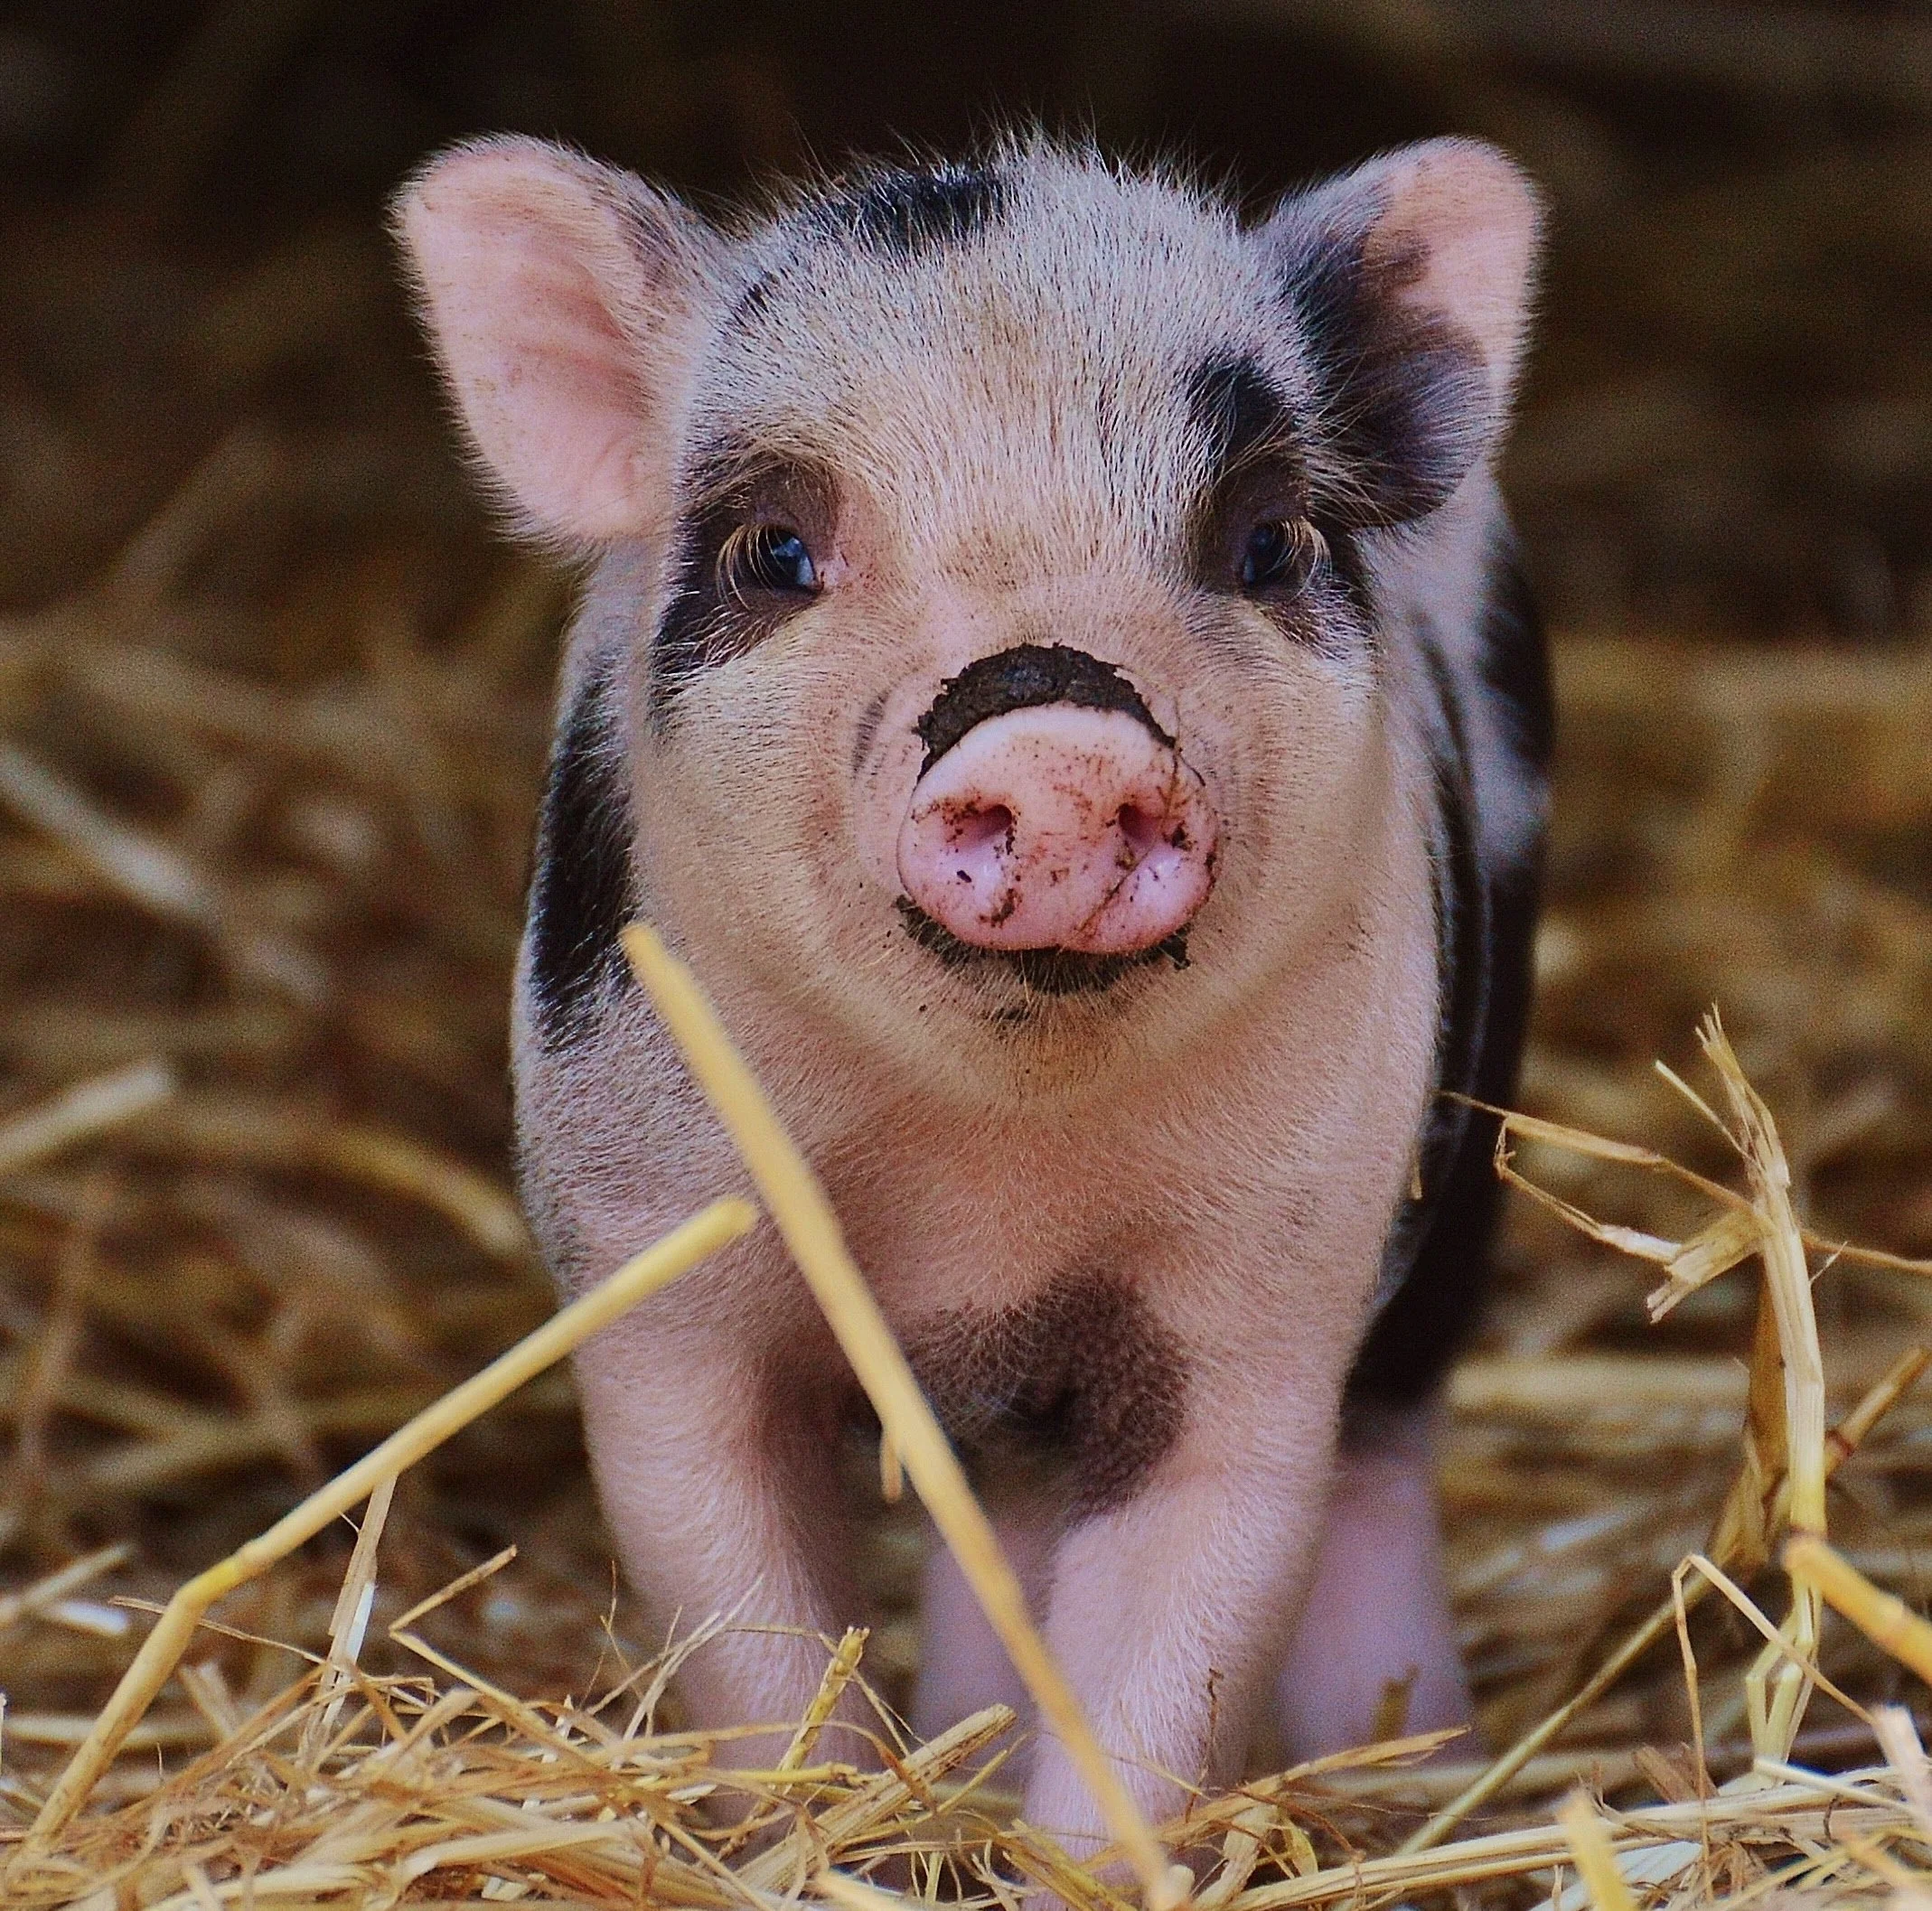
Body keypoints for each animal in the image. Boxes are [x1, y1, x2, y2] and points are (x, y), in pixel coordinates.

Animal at [395, 133, 1548, 1854]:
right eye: (775, 550)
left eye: (1266, 542)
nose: (1056, 728)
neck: (986, 1189)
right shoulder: (651, 1256)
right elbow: (742, 1621)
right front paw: (831, 1840)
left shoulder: (1265, 1293)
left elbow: (1179, 1633)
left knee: (1381, 1451)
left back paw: (1411, 1771)